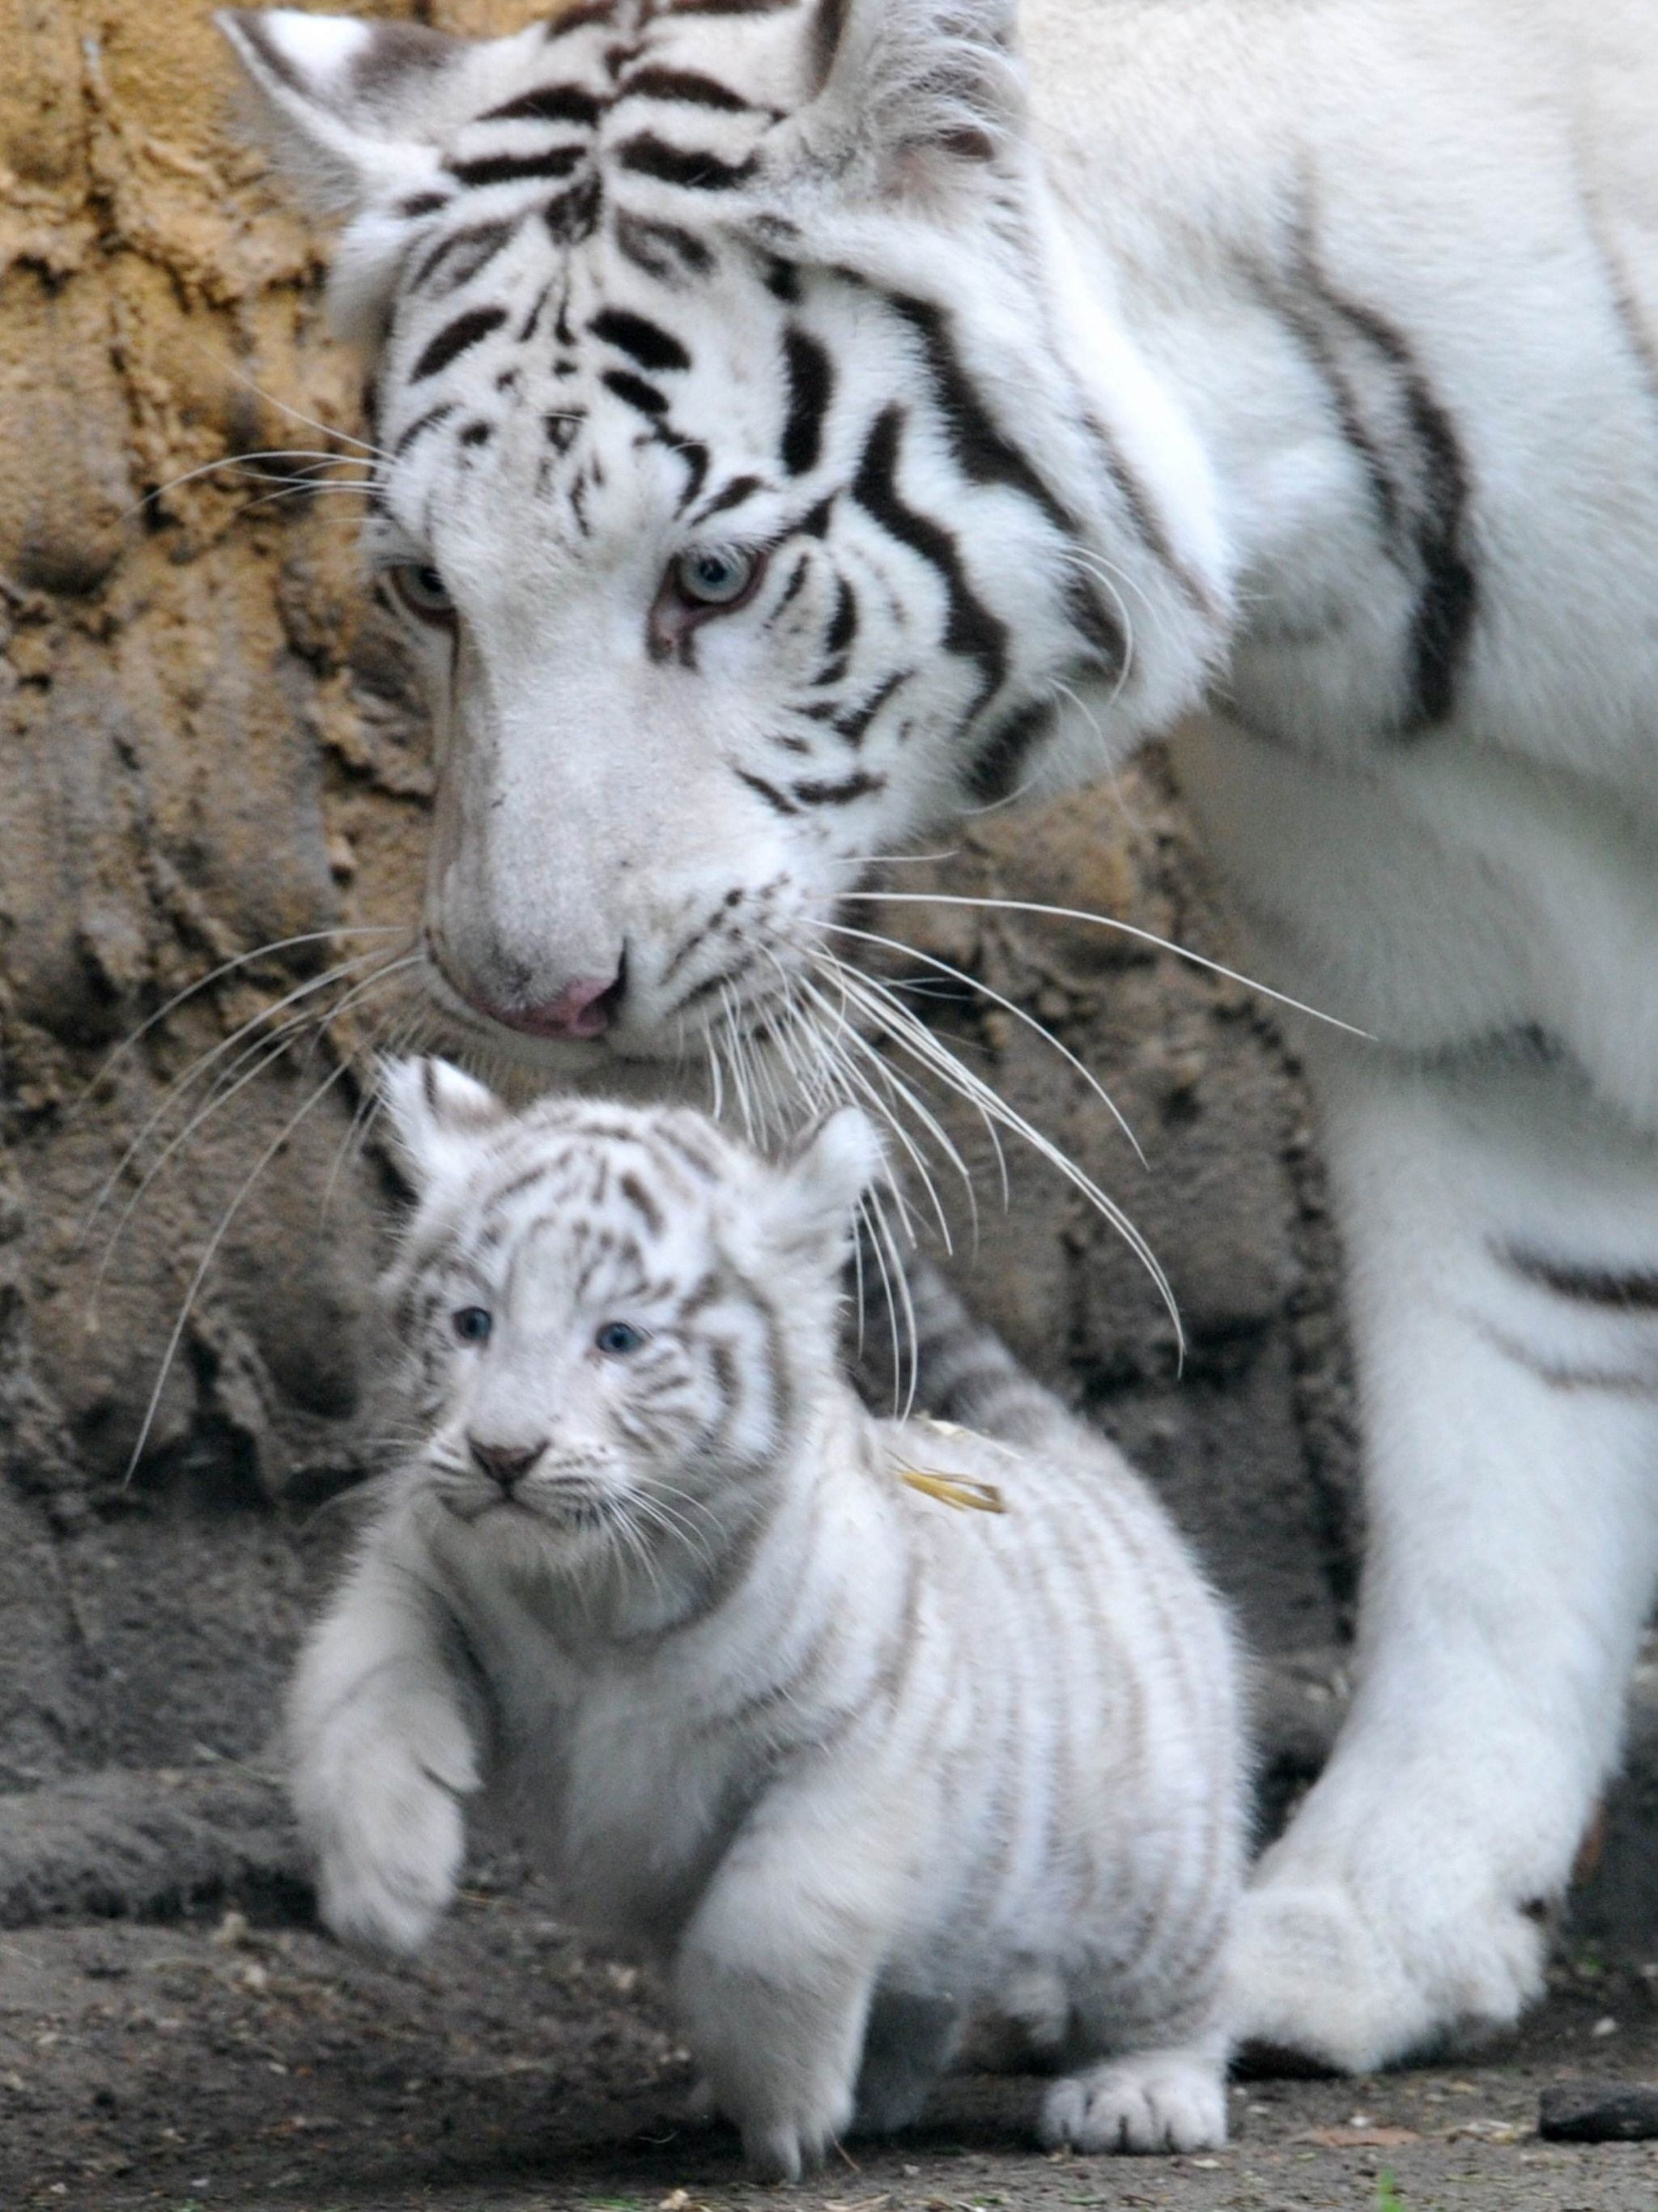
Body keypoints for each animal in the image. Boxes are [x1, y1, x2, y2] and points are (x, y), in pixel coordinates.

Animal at [288, 1057, 1245, 2175]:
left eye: (618, 1338)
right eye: (471, 1322)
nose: (502, 1454)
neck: (599, 1592)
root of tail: (1075, 1463)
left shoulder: (865, 1735)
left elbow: (775, 1917)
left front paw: (784, 2107)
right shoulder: (424, 1576)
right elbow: (366, 1694)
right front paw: (382, 1883)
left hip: (1153, 1862)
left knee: (1174, 1983)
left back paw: (1137, 2094)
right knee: (926, 1991)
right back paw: (874, 2087)